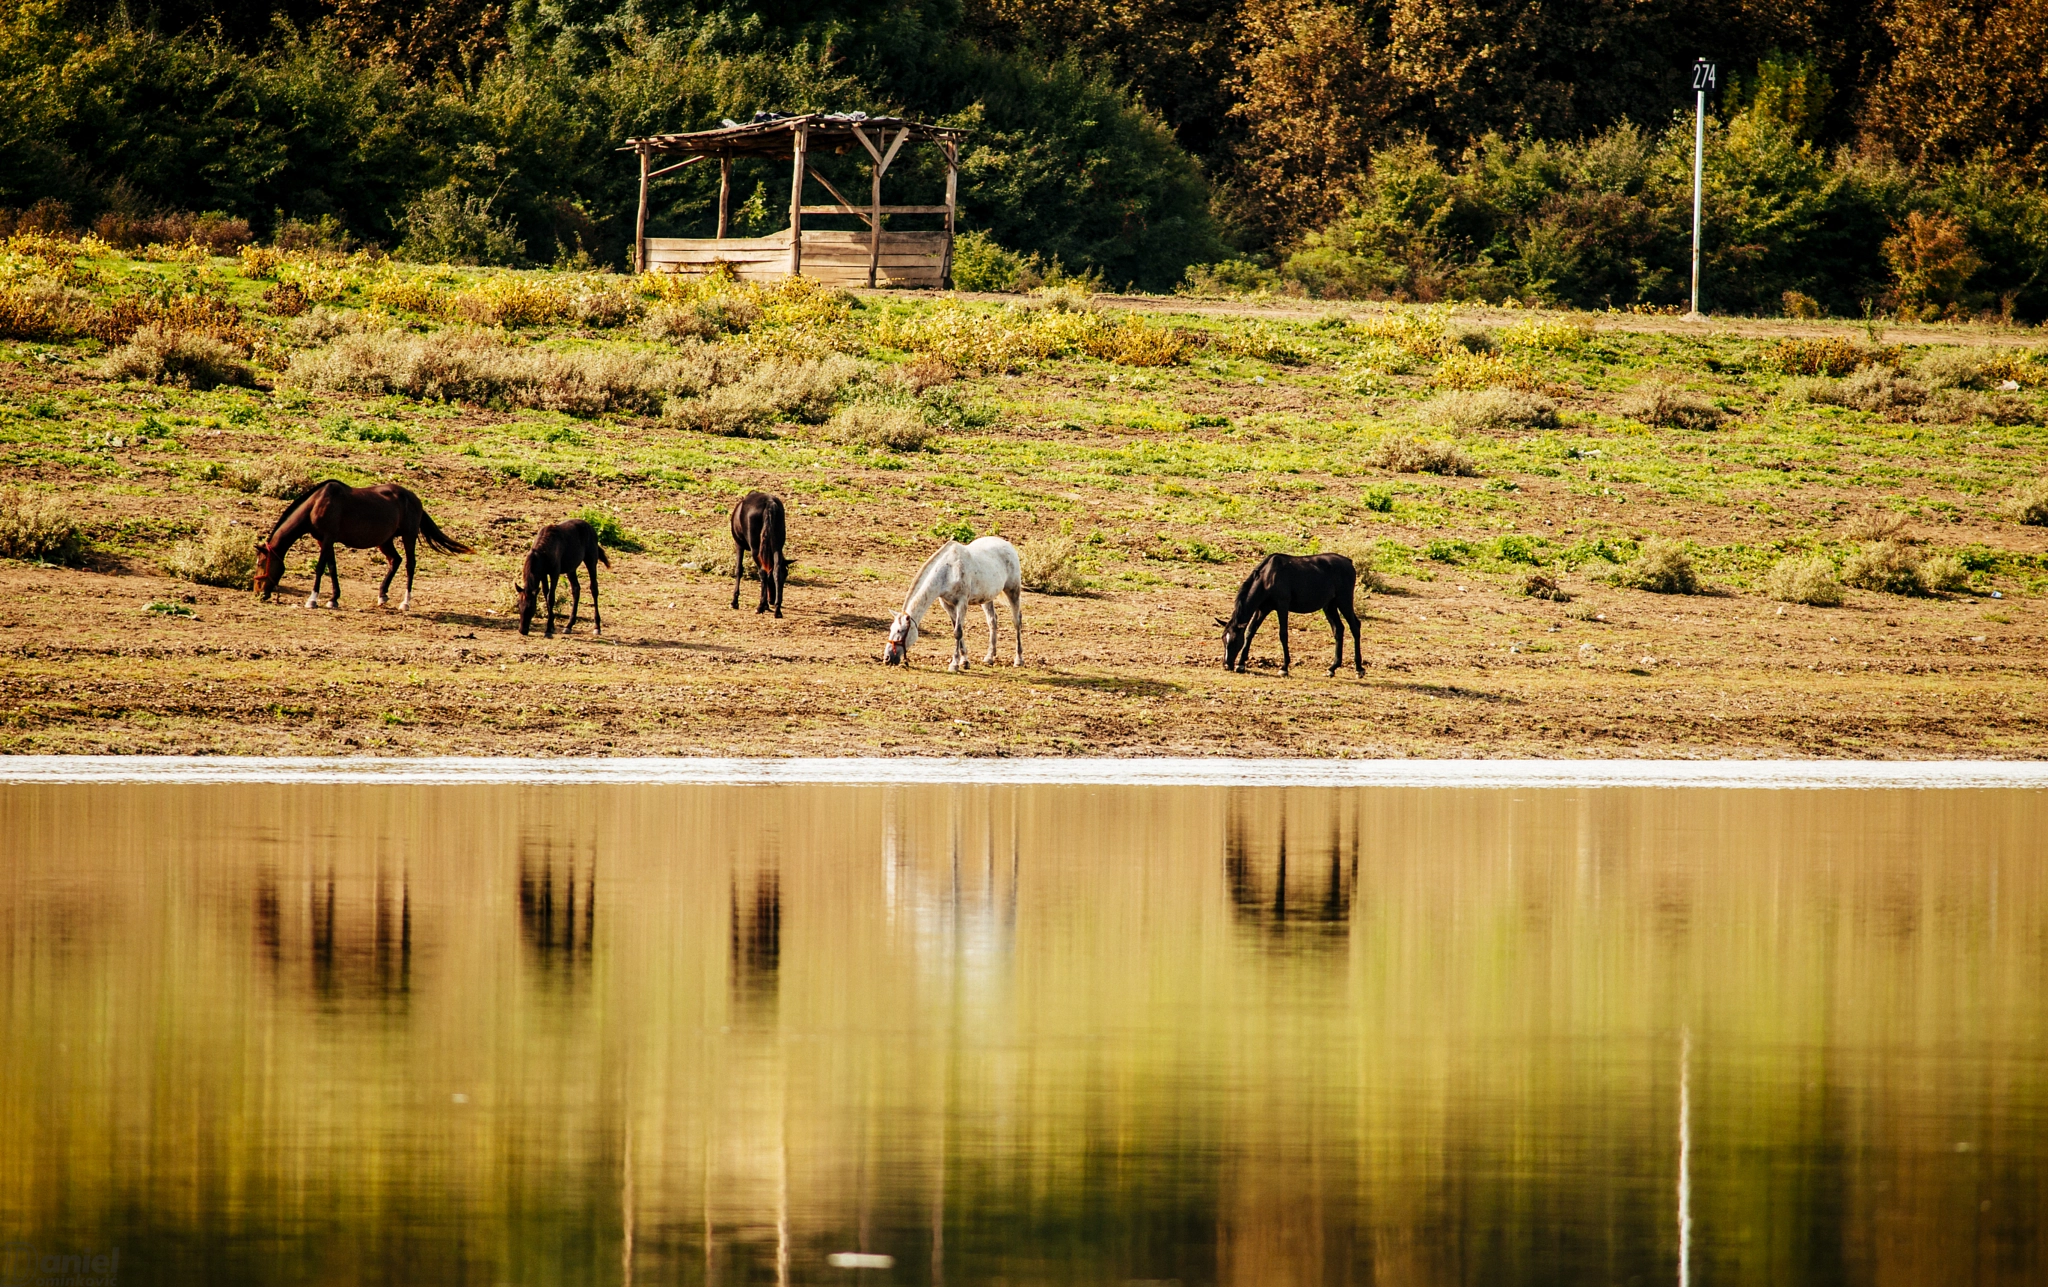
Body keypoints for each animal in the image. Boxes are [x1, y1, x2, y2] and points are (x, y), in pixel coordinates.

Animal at [255, 480, 470, 610]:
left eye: (261, 563)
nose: (258, 592)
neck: (316, 504)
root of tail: (414, 498)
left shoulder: (327, 538)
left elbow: (320, 568)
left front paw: (312, 600)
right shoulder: (324, 540)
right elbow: (332, 567)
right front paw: (333, 599)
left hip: (408, 536)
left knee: (410, 565)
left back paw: (405, 603)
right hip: (385, 541)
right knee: (395, 560)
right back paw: (382, 596)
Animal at [884, 537, 1024, 671]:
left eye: (900, 631)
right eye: (891, 629)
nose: (887, 658)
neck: (948, 570)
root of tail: (1008, 545)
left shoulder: (962, 603)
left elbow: (958, 632)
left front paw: (954, 664)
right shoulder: (947, 604)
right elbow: (956, 629)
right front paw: (964, 661)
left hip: (1013, 591)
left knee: (1016, 621)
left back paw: (1018, 660)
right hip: (987, 598)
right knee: (992, 621)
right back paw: (989, 657)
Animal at [1218, 552, 1364, 677]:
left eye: (1234, 640)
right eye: (1223, 639)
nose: (1226, 665)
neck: (1267, 577)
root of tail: (1348, 562)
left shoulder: (1282, 606)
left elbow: (1283, 634)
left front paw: (1284, 668)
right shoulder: (1263, 609)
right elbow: (1250, 632)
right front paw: (1241, 664)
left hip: (1344, 601)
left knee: (1355, 627)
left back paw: (1359, 669)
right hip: (1330, 606)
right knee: (1338, 629)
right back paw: (1332, 668)